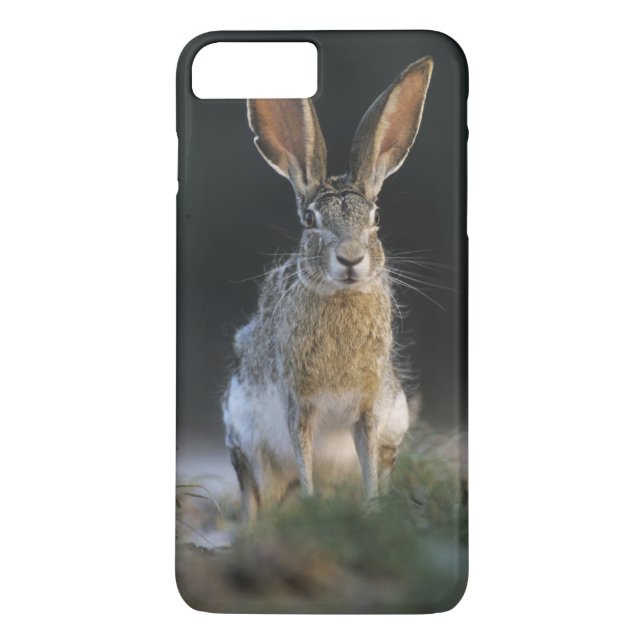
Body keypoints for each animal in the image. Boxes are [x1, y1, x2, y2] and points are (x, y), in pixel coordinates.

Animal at [222, 56, 434, 522]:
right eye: (310, 221)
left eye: (376, 218)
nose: (351, 258)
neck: (341, 297)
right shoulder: (298, 404)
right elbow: (303, 461)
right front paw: (311, 504)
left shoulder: (371, 409)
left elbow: (367, 463)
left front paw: (372, 512)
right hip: (244, 441)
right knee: (253, 496)